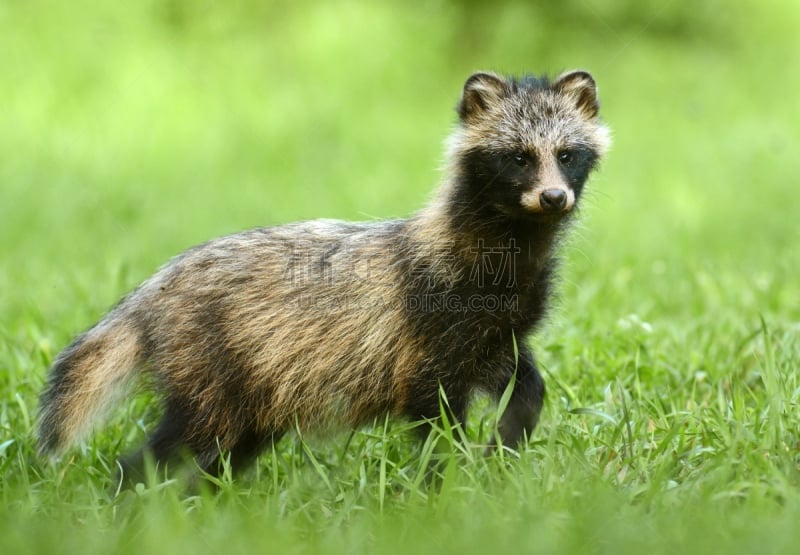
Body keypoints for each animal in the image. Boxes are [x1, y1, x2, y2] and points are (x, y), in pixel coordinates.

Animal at [37, 70, 608, 482]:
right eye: (517, 158)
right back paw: (129, 495)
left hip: (255, 389)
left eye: (567, 154)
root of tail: (153, 292)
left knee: (223, 454)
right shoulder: (430, 327)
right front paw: (440, 485)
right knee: (172, 448)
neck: (510, 252)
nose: (553, 197)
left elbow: (527, 387)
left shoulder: (491, 333)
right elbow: (434, 419)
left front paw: (502, 449)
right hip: (212, 365)